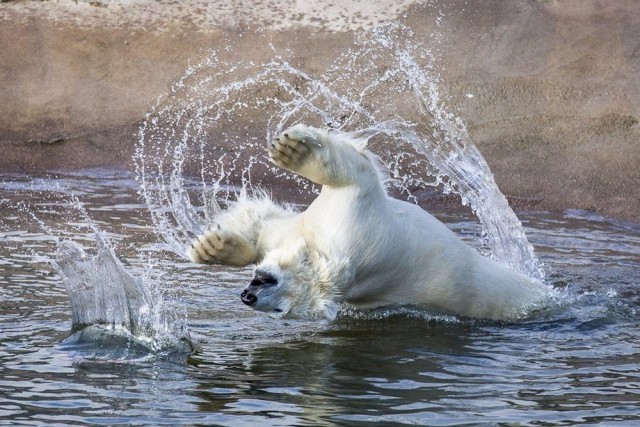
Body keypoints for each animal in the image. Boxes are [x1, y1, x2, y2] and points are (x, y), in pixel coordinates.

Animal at [186, 123, 552, 320]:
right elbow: (266, 229)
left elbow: (354, 173)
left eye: (280, 310)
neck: (321, 251)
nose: (248, 296)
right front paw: (212, 247)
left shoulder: (354, 225)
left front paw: (296, 151)